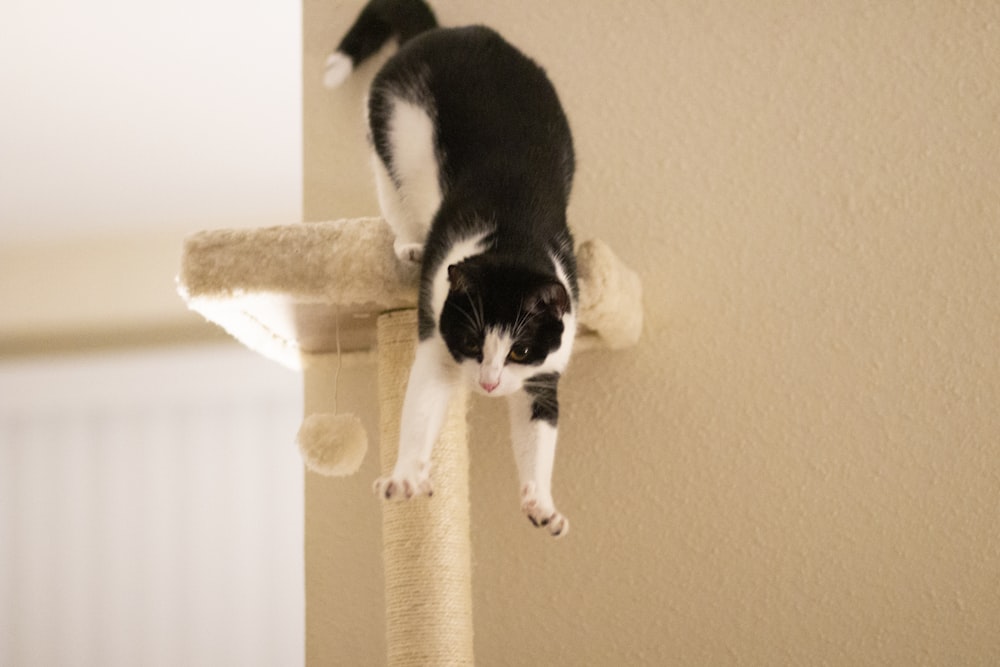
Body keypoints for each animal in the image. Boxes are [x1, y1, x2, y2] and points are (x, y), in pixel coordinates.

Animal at [328, 0, 580, 536]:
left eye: (521, 350)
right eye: (471, 342)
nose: (487, 383)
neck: (512, 234)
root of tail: (441, 33)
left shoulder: (547, 368)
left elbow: (540, 426)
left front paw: (541, 502)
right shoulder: (435, 331)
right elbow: (421, 403)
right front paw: (406, 474)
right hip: (389, 134)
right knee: (393, 194)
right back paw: (408, 244)